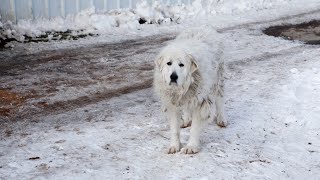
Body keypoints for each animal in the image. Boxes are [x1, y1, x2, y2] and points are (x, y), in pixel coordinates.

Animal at [153, 26, 226, 154]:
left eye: (181, 64)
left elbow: (194, 128)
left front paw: (191, 146)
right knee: (187, 107)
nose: (173, 76)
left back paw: (221, 119)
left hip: (217, 79)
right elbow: (175, 129)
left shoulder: (200, 103)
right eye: (169, 63)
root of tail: (203, 27)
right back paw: (186, 120)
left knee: (219, 99)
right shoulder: (172, 103)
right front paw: (174, 146)